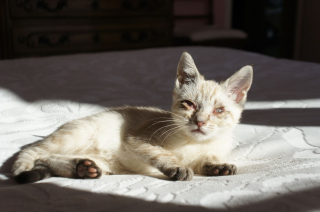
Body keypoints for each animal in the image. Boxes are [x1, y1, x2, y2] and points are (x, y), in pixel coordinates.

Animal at [11, 52, 252, 183]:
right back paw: (26, 167)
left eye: (219, 111)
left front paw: (218, 166)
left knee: (48, 159)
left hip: (102, 162)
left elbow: (207, 160)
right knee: (34, 151)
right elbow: (162, 154)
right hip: (76, 135)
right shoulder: (138, 139)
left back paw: (83, 168)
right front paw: (178, 167)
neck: (194, 143)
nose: (200, 121)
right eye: (189, 104)